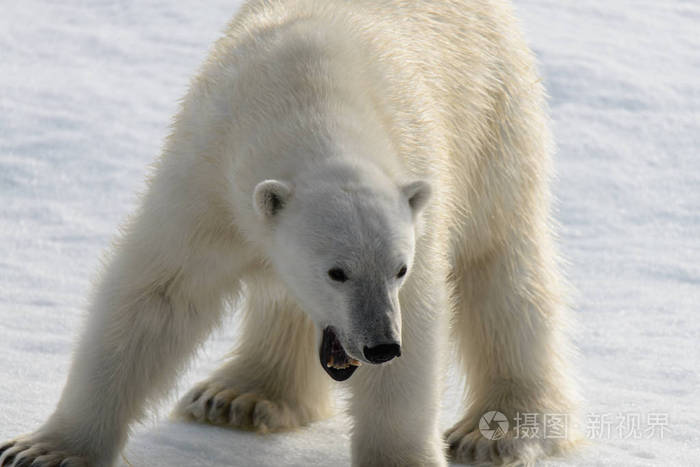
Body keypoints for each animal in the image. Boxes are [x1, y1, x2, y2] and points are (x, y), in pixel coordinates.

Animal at [0, 0, 580, 466]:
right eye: (336, 272)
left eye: (399, 268)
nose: (380, 346)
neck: (310, 95)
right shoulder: (208, 178)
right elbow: (156, 296)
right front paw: (43, 450)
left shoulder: (420, 178)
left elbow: (422, 319)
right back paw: (238, 396)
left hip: (494, 120)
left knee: (500, 269)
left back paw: (499, 431)